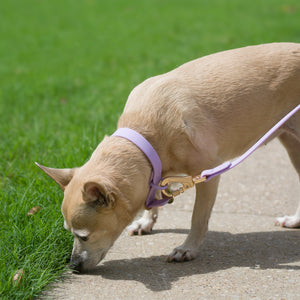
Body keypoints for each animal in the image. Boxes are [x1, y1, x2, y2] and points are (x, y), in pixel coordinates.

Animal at [37, 43, 300, 274]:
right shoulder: (157, 170)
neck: (144, 137)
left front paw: (188, 248)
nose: (73, 266)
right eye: (68, 232)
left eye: (83, 236)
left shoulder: (208, 174)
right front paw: (145, 221)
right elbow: (154, 197)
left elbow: (198, 218)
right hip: (292, 144)